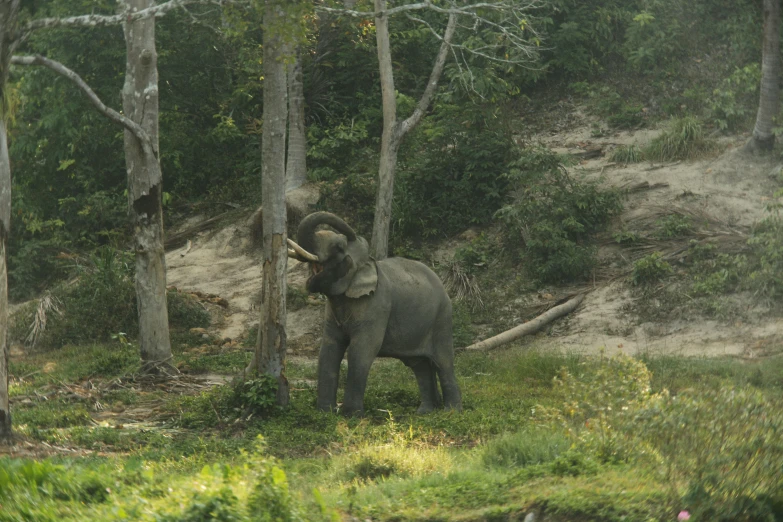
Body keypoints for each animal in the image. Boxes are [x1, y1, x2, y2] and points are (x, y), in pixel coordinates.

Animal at [286, 210, 460, 414]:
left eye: (338, 247)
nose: (355, 235)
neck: (366, 264)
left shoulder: (377, 305)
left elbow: (361, 349)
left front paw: (350, 415)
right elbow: (329, 348)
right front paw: (324, 412)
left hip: (442, 317)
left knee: (443, 361)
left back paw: (452, 411)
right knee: (419, 365)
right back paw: (424, 412)